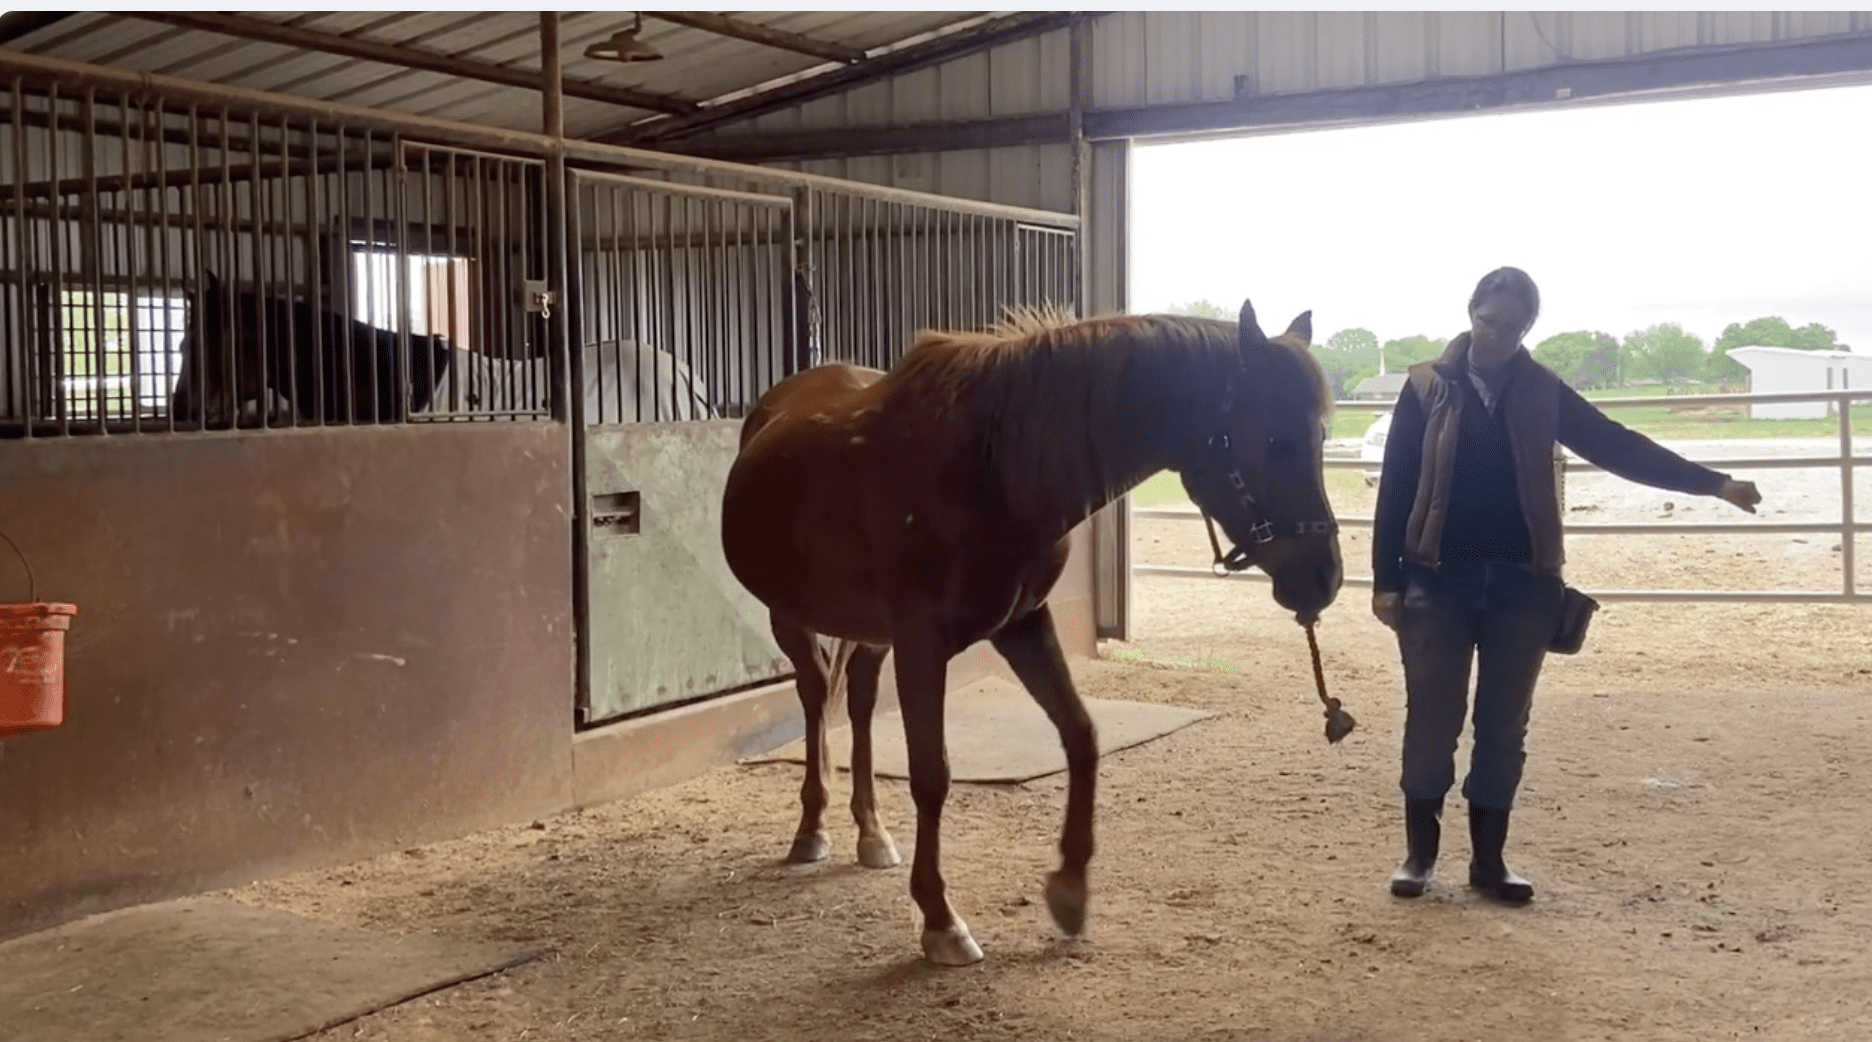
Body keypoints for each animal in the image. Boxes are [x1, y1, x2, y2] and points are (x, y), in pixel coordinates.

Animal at [718, 297, 1347, 965]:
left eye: (1318, 439)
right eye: (1275, 441)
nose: (1324, 578)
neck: (995, 469)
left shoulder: (1023, 624)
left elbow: (1081, 735)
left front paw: (1070, 888)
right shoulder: (922, 644)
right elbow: (931, 775)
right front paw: (940, 919)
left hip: (869, 632)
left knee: (858, 700)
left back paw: (871, 832)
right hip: (790, 617)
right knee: (816, 697)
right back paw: (812, 830)